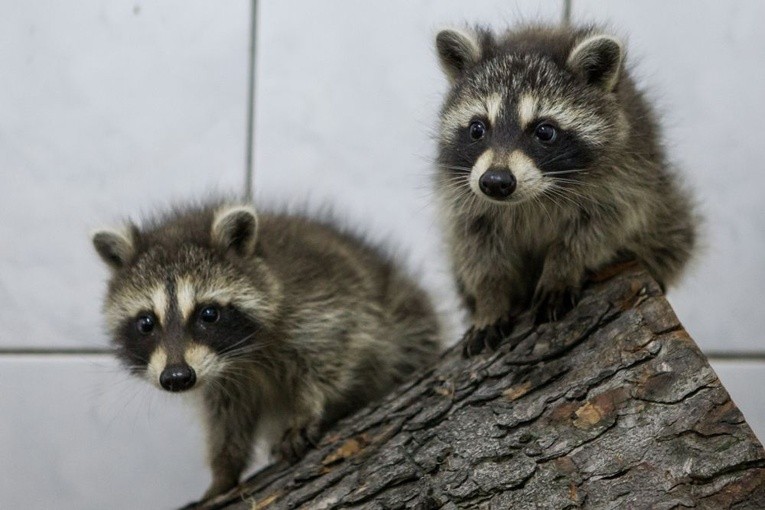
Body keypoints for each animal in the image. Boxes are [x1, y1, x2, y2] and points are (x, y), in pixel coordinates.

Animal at [89, 200, 438, 502]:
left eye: (208, 314)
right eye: (146, 322)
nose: (176, 378)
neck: (239, 358)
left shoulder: (322, 300)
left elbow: (334, 348)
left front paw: (308, 405)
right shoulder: (216, 379)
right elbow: (227, 417)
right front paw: (224, 469)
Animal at [432, 23, 696, 356]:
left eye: (544, 131)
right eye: (477, 129)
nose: (495, 182)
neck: (531, 197)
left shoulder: (627, 176)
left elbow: (597, 229)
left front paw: (561, 269)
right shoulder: (460, 192)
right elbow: (476, 248)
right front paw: (490, 299)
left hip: (666, 205)